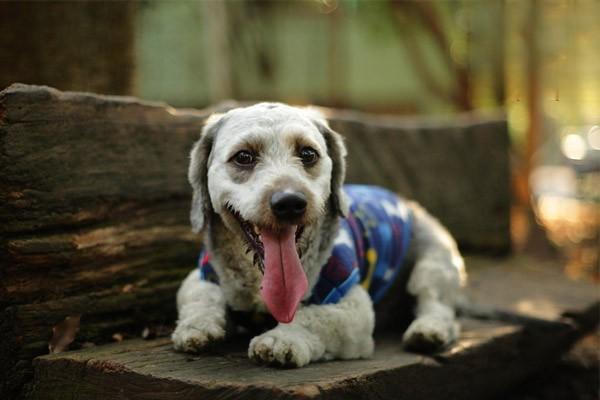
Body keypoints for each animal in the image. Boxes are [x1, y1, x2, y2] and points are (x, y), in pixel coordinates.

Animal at [171, 102, 466, 366]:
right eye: (244, 156)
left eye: (308, 153)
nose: (289, 202)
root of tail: (408, 204)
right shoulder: (201, 277)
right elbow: (203, 297)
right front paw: (197, 326)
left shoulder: (353, 307)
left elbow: (313, 318)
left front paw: (282, 340)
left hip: (433, 265)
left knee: (439, 308)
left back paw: (428, 331)